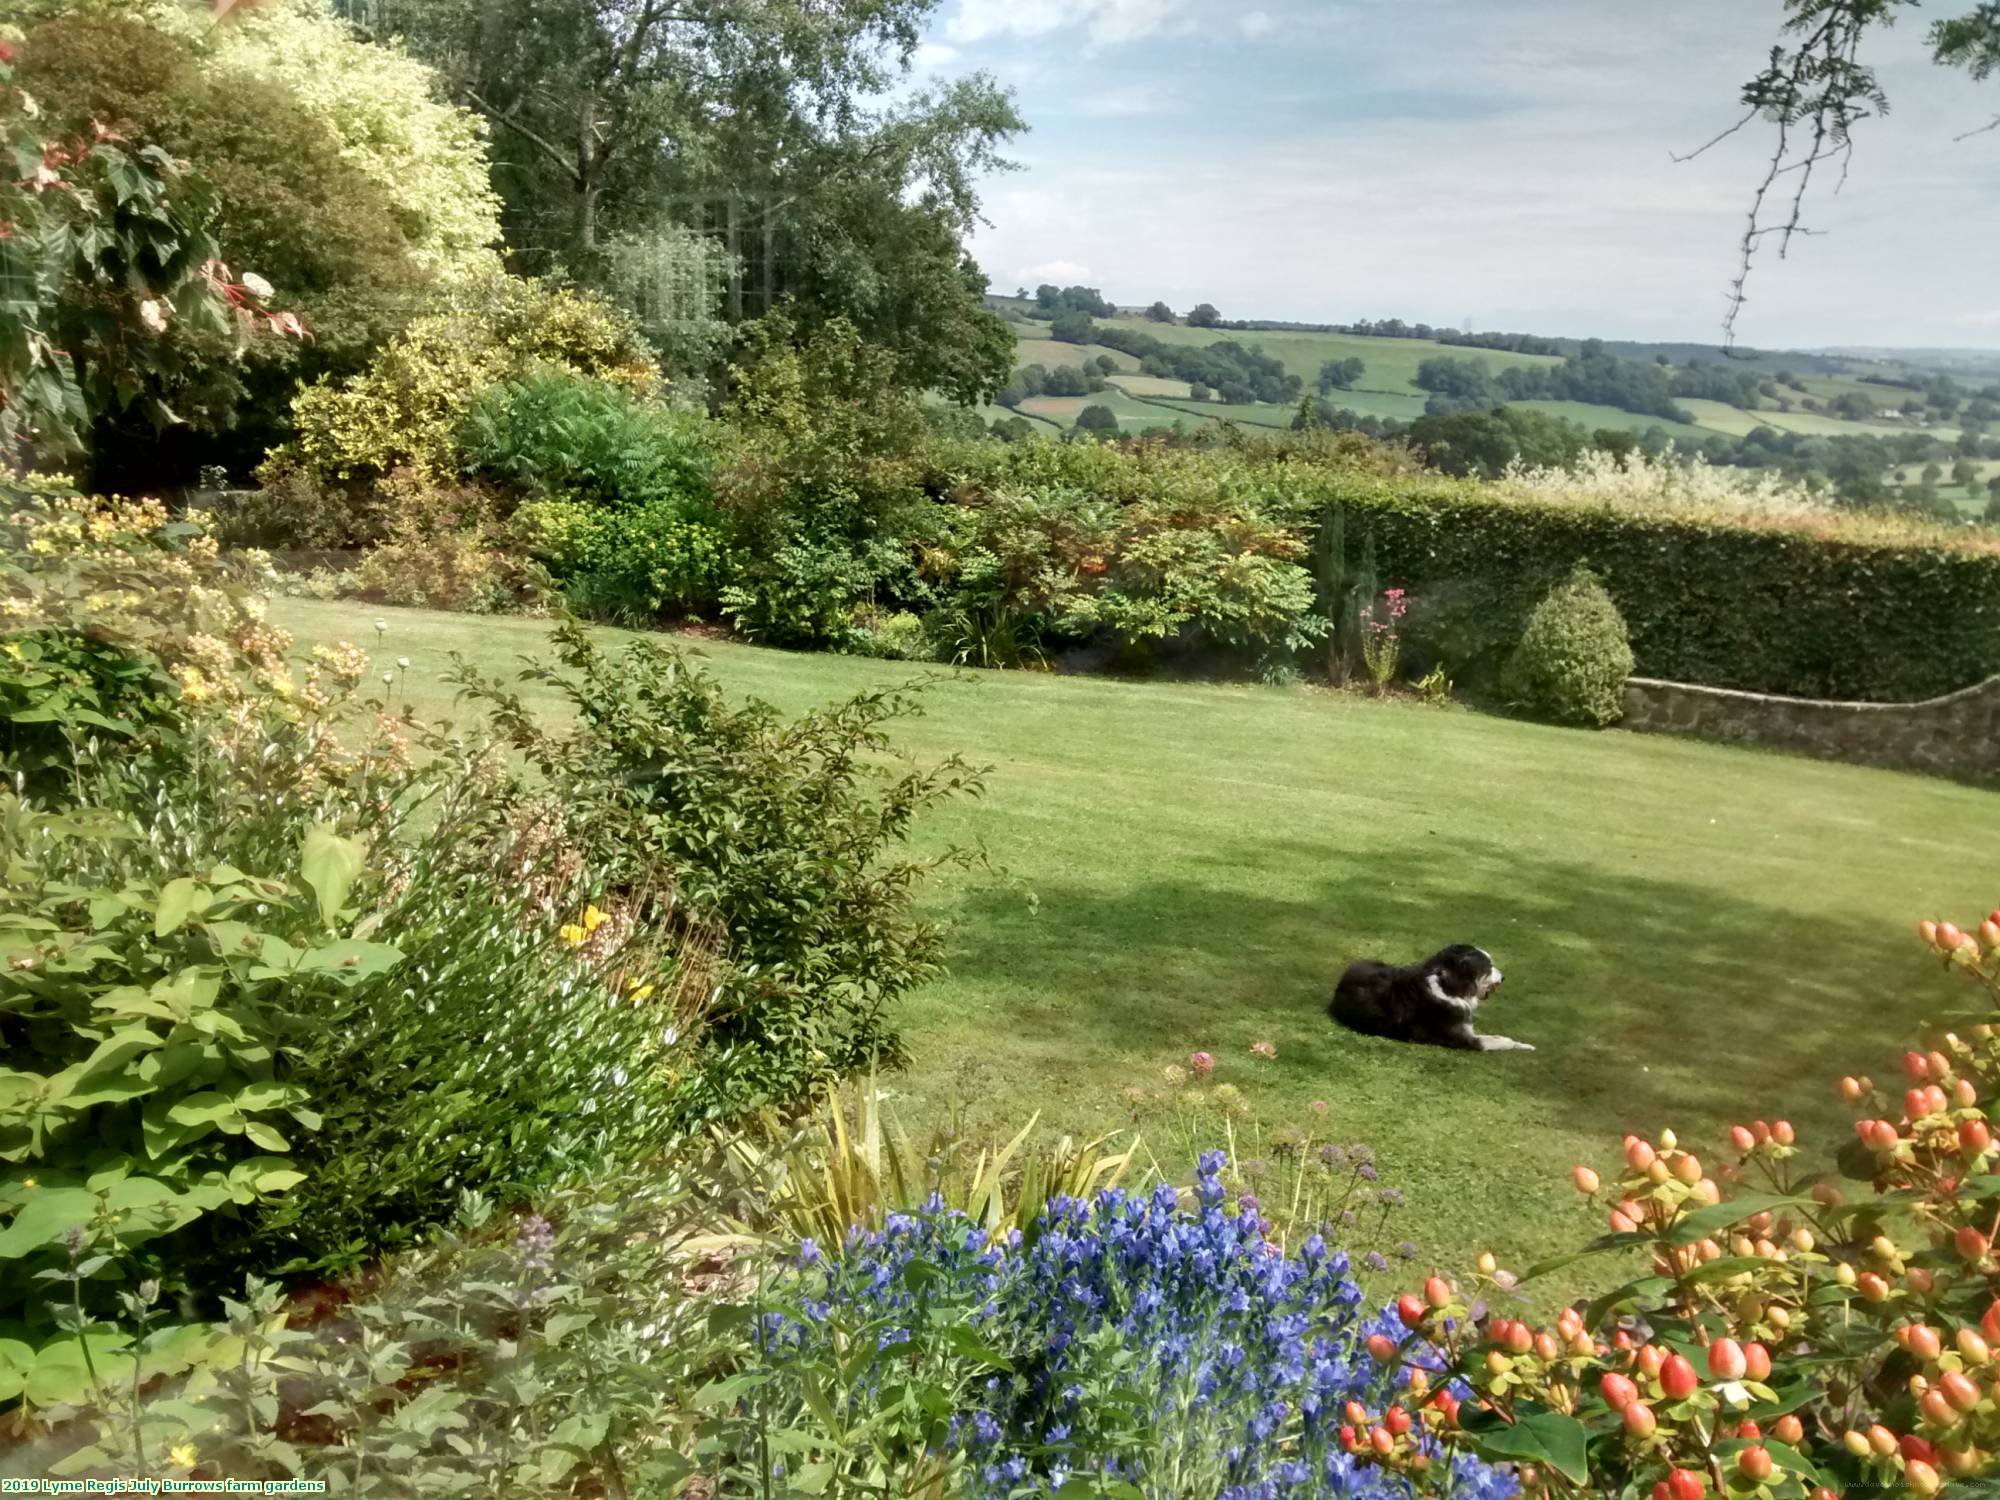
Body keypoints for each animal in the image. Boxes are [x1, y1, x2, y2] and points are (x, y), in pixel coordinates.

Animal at [1336, 952, 1536, 1056]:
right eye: (1488, 965)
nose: (1503, 977)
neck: (1448, 986)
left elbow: (1497, 1036)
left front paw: (1525, 1045)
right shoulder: (1464, 1039)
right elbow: (1500, 1041)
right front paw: (1522, 1046)